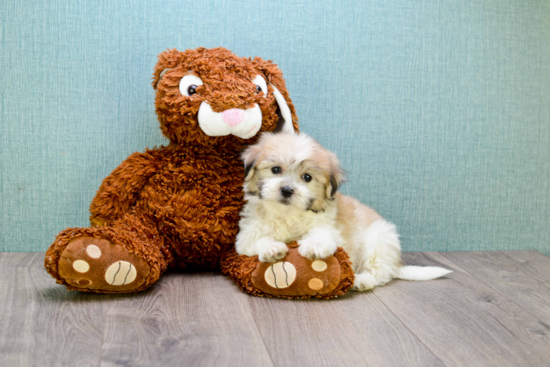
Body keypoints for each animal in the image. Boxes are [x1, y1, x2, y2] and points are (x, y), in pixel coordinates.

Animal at [237, 132, 452, 290]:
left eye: (307, 177)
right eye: (275, 170)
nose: (287, 190)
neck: (287, 214)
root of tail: (396, 264)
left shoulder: (329, 226)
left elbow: (322, 234)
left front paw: (314, 245)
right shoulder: (246, 236)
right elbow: (258, 240)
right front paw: (272, 248)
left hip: (379, 239)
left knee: (380, 273)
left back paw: (361, 280)